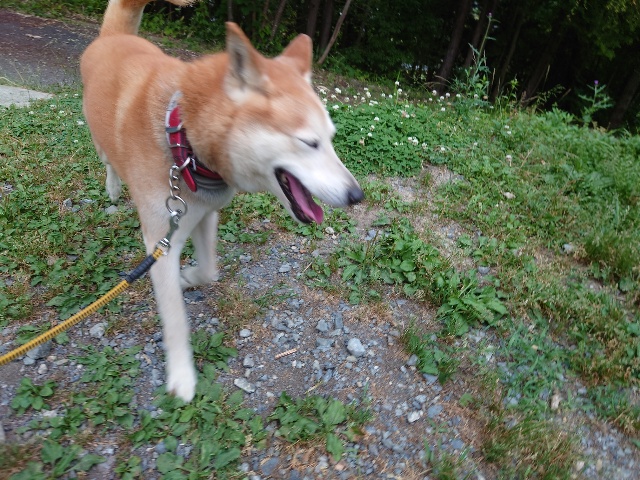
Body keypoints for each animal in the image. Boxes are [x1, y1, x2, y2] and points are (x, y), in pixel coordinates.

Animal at [80, 0, 363, 401]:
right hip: (98, 138)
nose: (357, 195)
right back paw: (114, 188)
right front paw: (182, 375)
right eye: (310, 142)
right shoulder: (160, 242)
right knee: (107, 162)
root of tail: (113, 37)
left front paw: (188, 278)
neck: (183, 140)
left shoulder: (203, 214)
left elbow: (210, 270)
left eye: (331, 138)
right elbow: (175, 320)